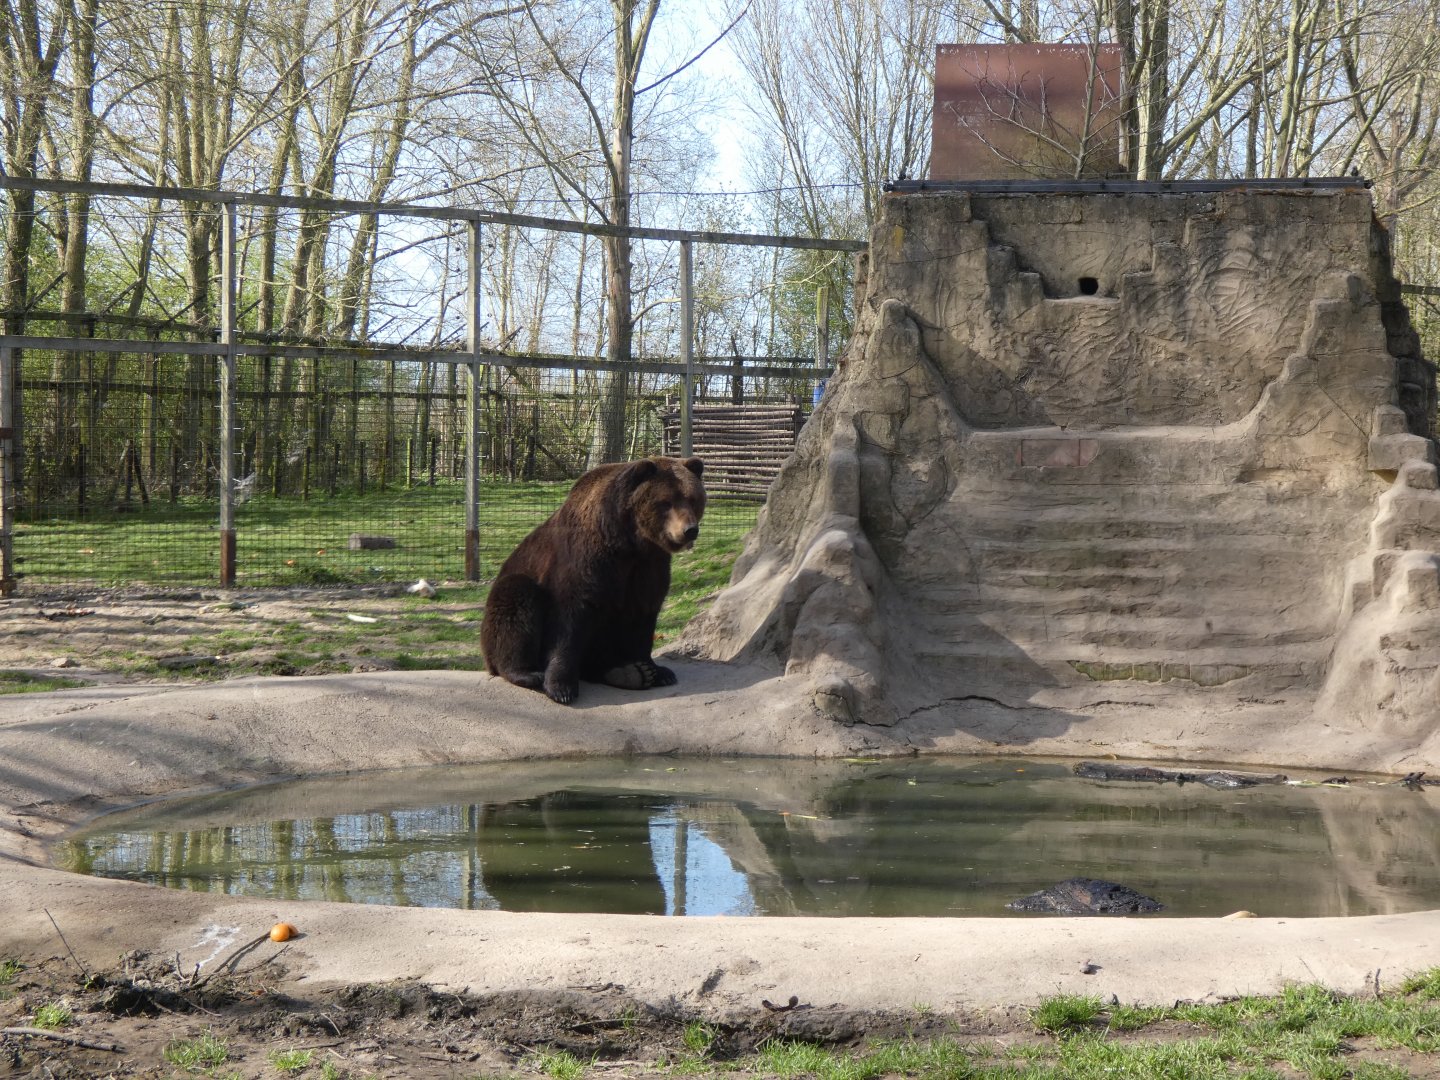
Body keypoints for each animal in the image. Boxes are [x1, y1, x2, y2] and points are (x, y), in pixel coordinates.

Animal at [480, 456, 706, 704]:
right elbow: (570, 618)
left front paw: (653, 670)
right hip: (514, 587)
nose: (689, 530)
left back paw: (629, 673)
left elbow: (643, 616)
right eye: (665, 502)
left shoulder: (648, 568)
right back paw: (527, 672)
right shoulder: (587, 561)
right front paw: (561, 688)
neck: (629, 543)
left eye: (693, 499)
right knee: (516, 598)